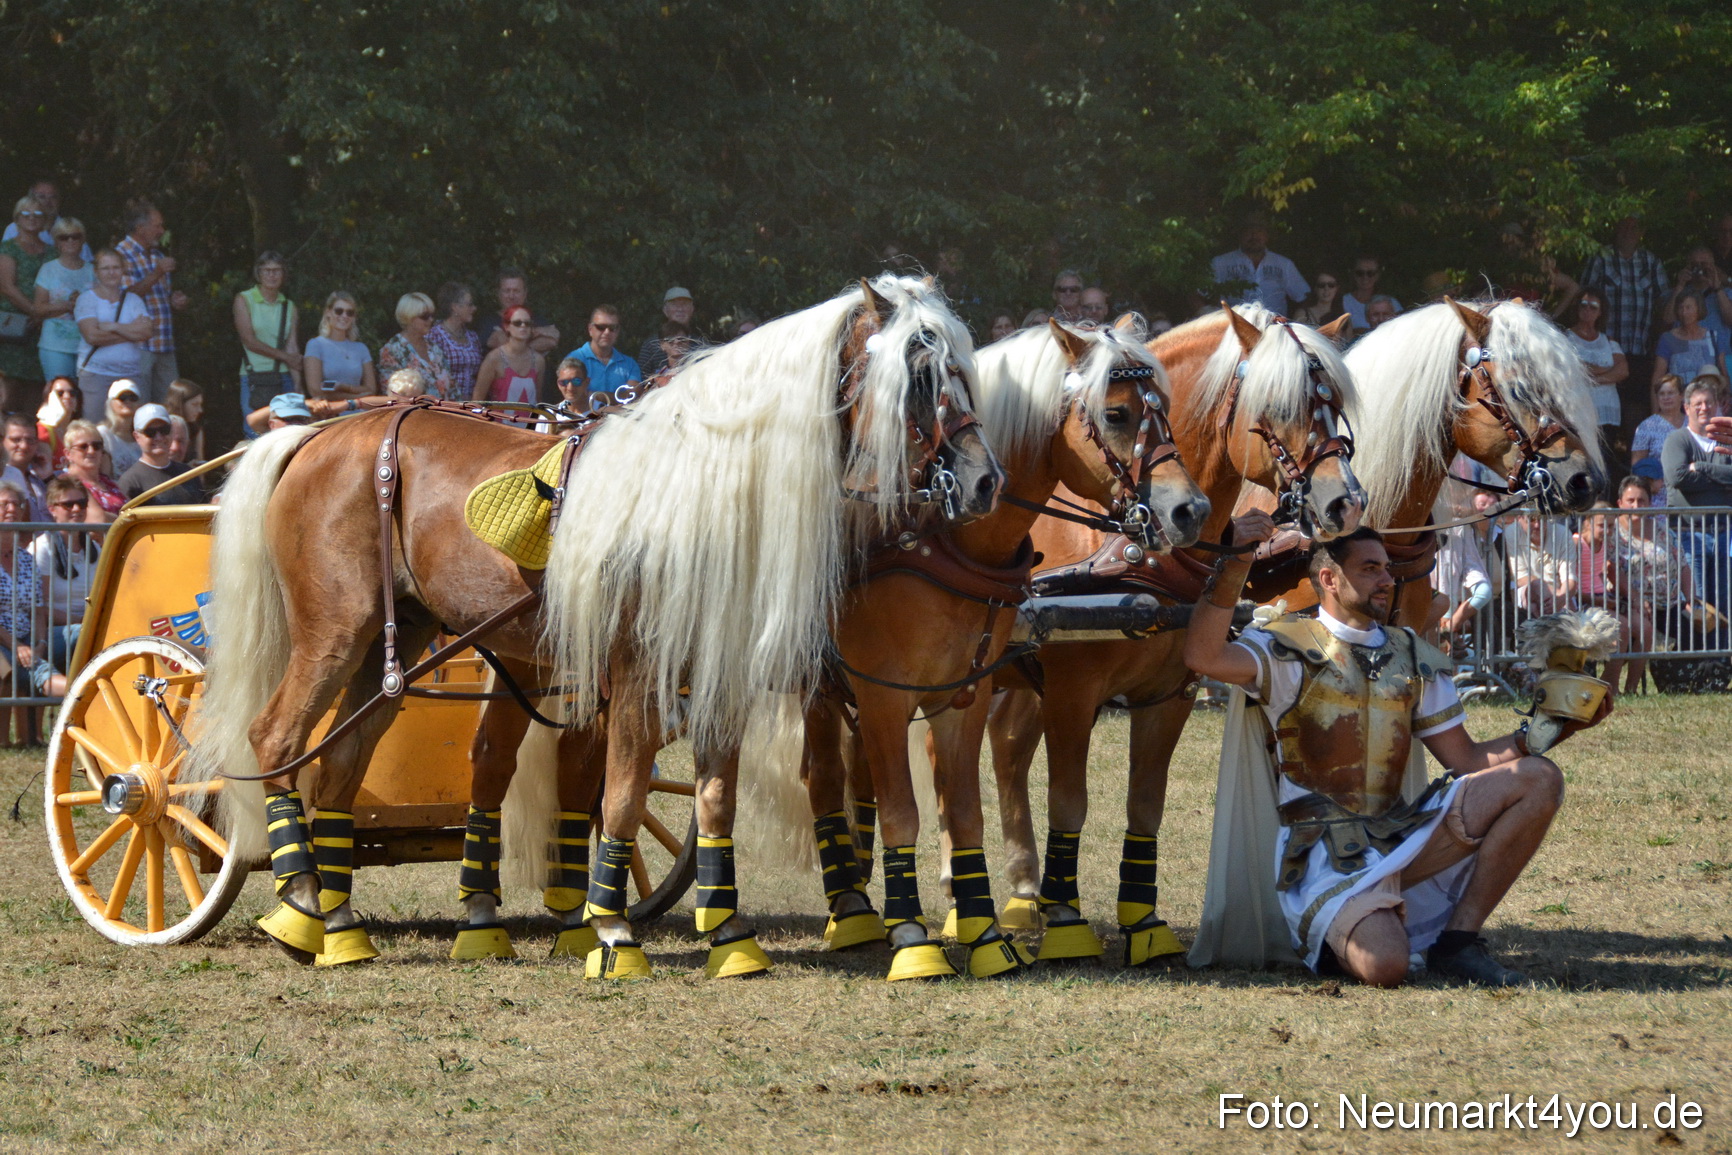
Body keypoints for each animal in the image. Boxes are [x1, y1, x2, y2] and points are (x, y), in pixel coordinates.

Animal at [187, 274, 1003, 978]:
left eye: (961, 370)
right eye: (921, 375)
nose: (984, 479)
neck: (699, 488)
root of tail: (313, 438)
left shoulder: (720, 676)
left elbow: (714, 795)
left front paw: (730, 934)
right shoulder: (639, 673)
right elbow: (624, 792)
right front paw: (611, 931)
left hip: (392, 649)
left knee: (338, 765)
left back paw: (338, 922)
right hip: (335, 635)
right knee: (277, 740)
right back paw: (298, 899)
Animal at [787, 316, 1212, 980]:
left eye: (1165, 410)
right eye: (1116, 413)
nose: (1189, 510)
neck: (948, 540)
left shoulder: (974, 692)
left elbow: (974, 809)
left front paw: (989, 931)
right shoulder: (896, 695)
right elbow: (916, 808)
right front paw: (917, 937)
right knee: (825, 779)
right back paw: (853, 910)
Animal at [980, 304, 1367, 965]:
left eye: (1335, 402)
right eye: (1280, 405)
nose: (1345, 502)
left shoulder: (1170, 695)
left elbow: (1146, 802)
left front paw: (1143, 922)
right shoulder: (1071, 694)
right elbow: (1070, 801)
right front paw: (1068, 922)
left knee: (1005, 746)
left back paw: (1025, 893)